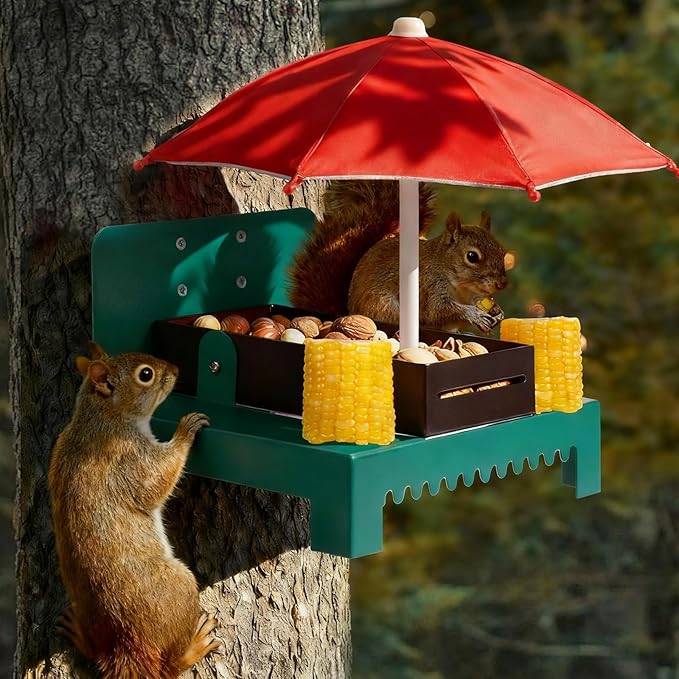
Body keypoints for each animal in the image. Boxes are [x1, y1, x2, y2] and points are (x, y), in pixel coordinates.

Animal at [48, 341, 219, 679]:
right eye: (146, 374)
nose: (176, 368)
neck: (101, 417)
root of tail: (127, 649)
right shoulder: (129, 458)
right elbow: (158, 479)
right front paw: (186, 431)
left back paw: (78, 633)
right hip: (181, 589)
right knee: (170, 666)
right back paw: (195, 646)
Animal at [289, 180, 508, 333]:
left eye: (501, 250)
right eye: (472, 256)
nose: (502, 284)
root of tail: (346, 312)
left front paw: (497, 311)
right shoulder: (429, 286)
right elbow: (439, 311)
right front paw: (474, 315)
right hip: (385, 308)